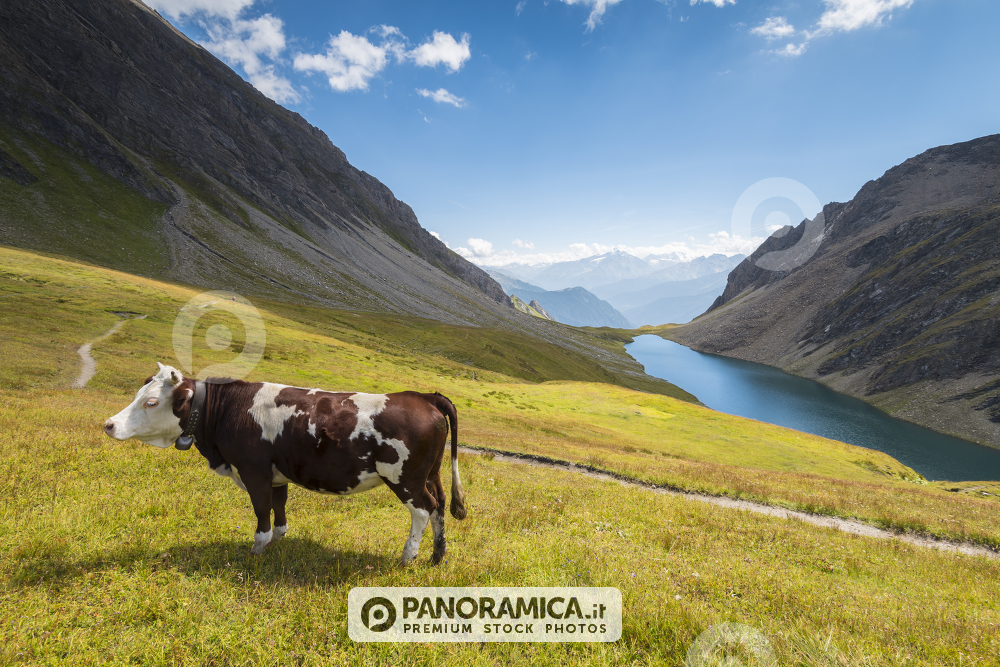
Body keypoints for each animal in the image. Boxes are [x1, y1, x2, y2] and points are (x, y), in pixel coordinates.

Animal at [103, 363, 467, 564]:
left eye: (152, 402)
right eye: (138, 395)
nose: (109, 424)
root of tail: (423, 396)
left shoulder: (254, 472)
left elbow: (262, 511)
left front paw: (257, 549)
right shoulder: (277, 475)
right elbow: (279, 509)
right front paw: (278, 540)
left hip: (404, 478)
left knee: (423, 510)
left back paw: (408, 557)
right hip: (430, 474)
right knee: (440, 506)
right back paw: (437, 556)